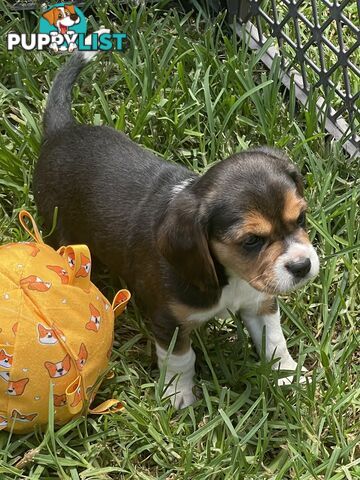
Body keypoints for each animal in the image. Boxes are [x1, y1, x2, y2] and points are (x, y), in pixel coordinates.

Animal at [34, 40, 320, 408]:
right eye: (251, 241)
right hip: (60, 230)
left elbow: (274, 341)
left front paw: (288, 376)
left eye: (300, 218)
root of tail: (61, 130)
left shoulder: (261, 303)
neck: (228, 276)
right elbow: (182, 359)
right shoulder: (168, 321)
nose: (302, 266)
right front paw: (179, 397)